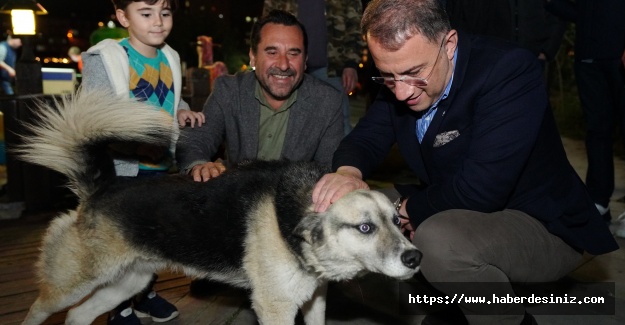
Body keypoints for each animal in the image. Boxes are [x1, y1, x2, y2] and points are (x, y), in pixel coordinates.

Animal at [17, 91, 422, 324]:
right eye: (365, 227)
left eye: (396, 220)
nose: (415, 258)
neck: (293, 216)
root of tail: (101, 188)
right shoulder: (276, 307)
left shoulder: (313, 300)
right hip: (70, 284)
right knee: (40, 311)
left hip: (126, 282)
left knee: (77, 316)